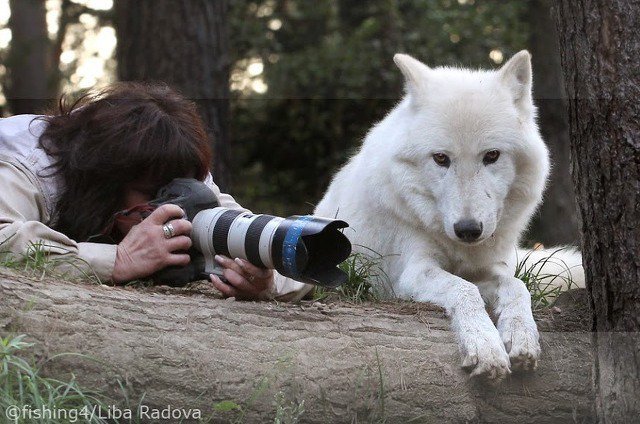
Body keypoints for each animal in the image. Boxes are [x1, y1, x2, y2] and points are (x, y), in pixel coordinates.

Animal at [280, 49, 584, 380]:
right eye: (441, 158)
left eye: (491, 156)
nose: (468, 229)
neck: (457, 247)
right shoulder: (412, 273)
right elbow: (464, 290)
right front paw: (486, 348)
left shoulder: (488, 268)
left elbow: (517, 287)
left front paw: (521, 336)